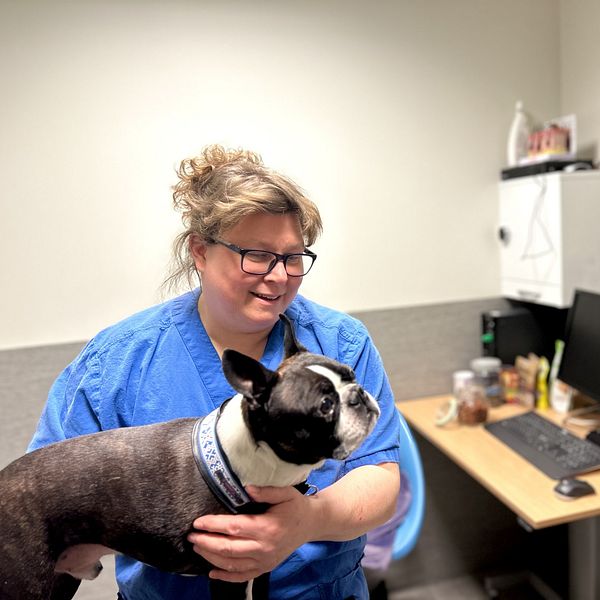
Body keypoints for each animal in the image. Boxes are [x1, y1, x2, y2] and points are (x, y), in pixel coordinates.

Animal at [0, 314, 380, 600]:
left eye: (351, 375)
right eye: (325, 405)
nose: (359, 394)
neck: (243, 461)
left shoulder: (261, 566)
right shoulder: (229, 573)